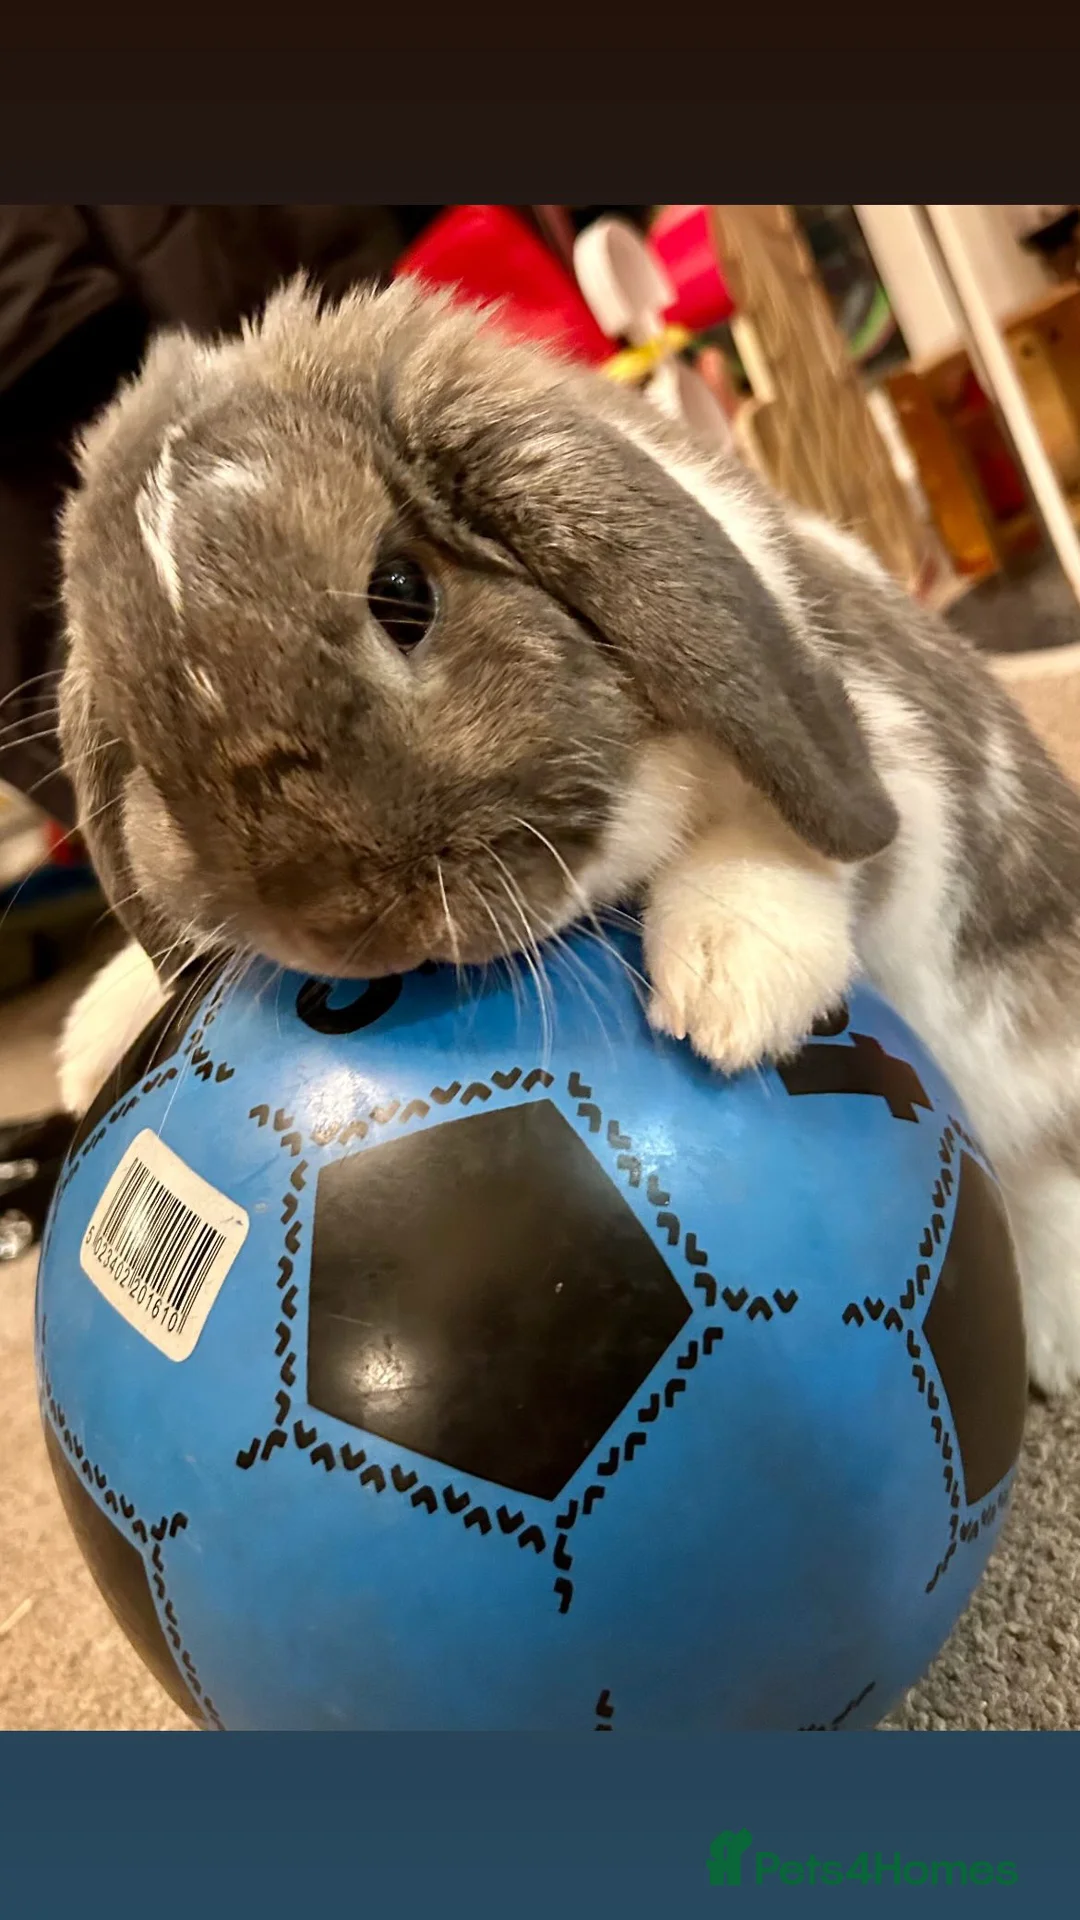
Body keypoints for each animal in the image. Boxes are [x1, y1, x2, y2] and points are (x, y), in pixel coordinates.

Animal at [55, 275, 1080, 1396]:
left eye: (402, 593)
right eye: (140, 746)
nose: (340, 927)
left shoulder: (877, 740)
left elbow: (800, 830)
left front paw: (728, 989)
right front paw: (88, 1037)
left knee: (1044, 1165)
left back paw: (1053, 1335)